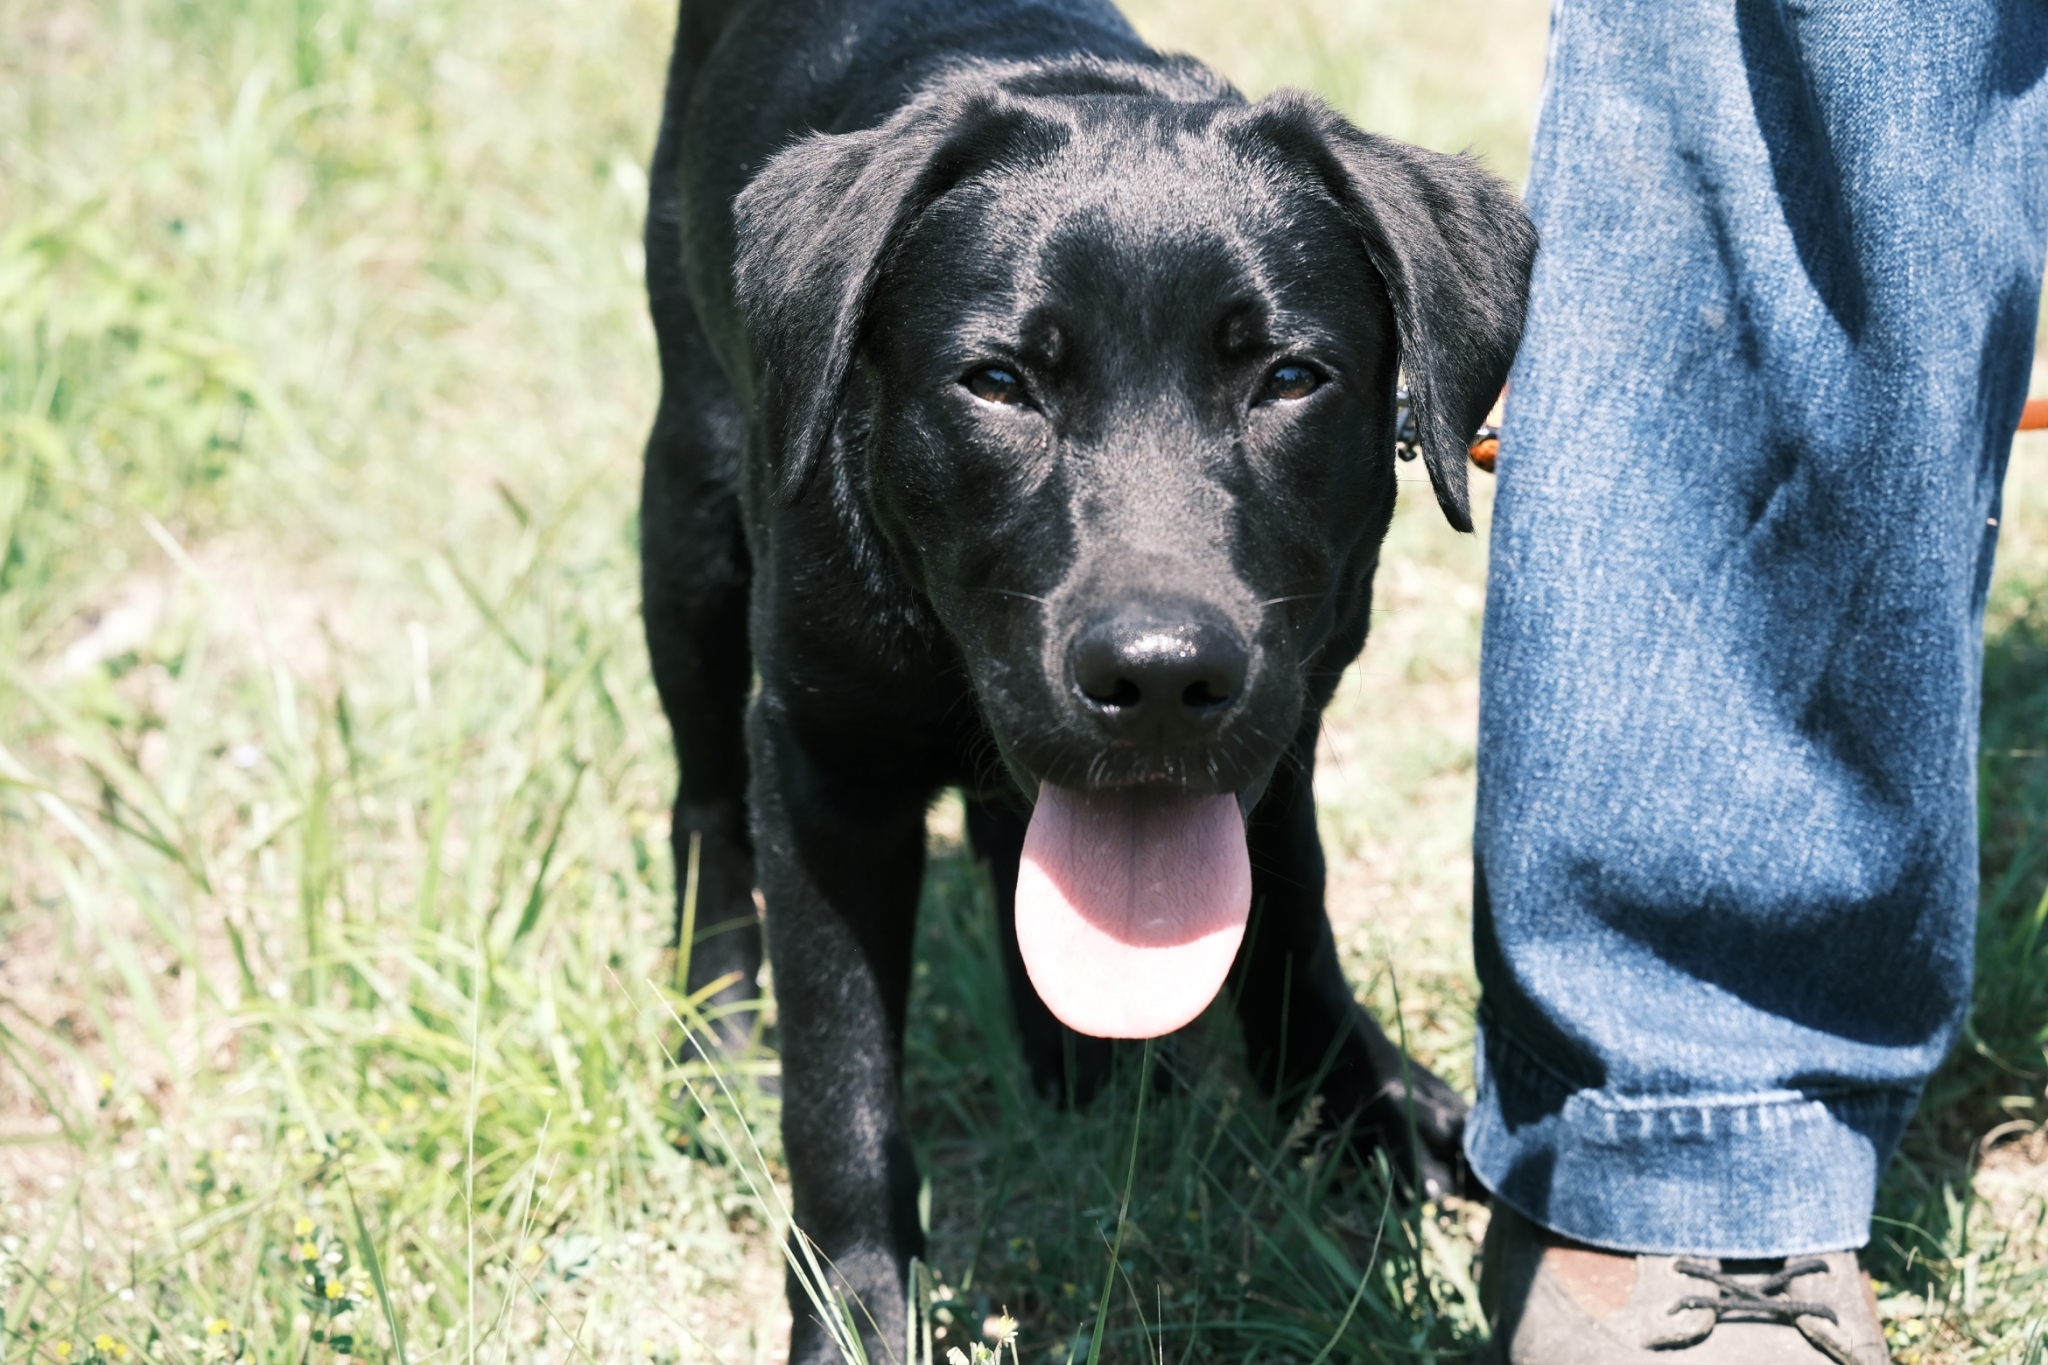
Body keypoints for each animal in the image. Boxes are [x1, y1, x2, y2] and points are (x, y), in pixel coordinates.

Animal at [638, 0, 1540, 1358]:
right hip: (689, 515)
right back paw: (721, 1034)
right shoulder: (821, 761)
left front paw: (1357, 1103)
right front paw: (854, 1315)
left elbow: (1291, 906)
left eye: (1288, 378)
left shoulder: (1290, 707)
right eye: (999, 382)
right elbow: (840, 1086)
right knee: (701, 806)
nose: (1160, 677)